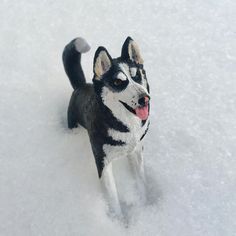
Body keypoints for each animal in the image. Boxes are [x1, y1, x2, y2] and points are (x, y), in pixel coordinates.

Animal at [61, 36, 150, 216]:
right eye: (118, 81)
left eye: (137, 75)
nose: (144, 98)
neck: (127, 126)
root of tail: (80, 86)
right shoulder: (103, 160)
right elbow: (112, 197)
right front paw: (118, 220)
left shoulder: (137, 151)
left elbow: (141, 182)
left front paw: (146, 209)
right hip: (72, 123)